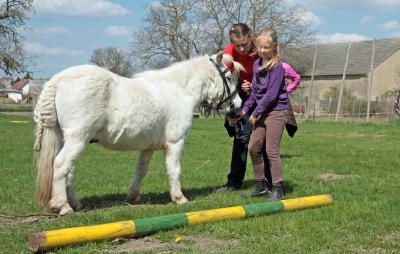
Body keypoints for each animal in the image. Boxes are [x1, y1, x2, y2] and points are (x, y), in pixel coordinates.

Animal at [34, 52, 242, 215]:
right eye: (229, 77)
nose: (238, 105)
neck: (178, 91)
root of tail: (57, 80)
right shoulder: (175, 143)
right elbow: (174, 170)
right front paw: (179, 198)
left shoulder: (147, 147)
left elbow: (140, 171)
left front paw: (132, 197)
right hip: (78, 138)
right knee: (61, 165)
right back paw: (63, 206)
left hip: (66, 139)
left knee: (68, 171)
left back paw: (75, 204)